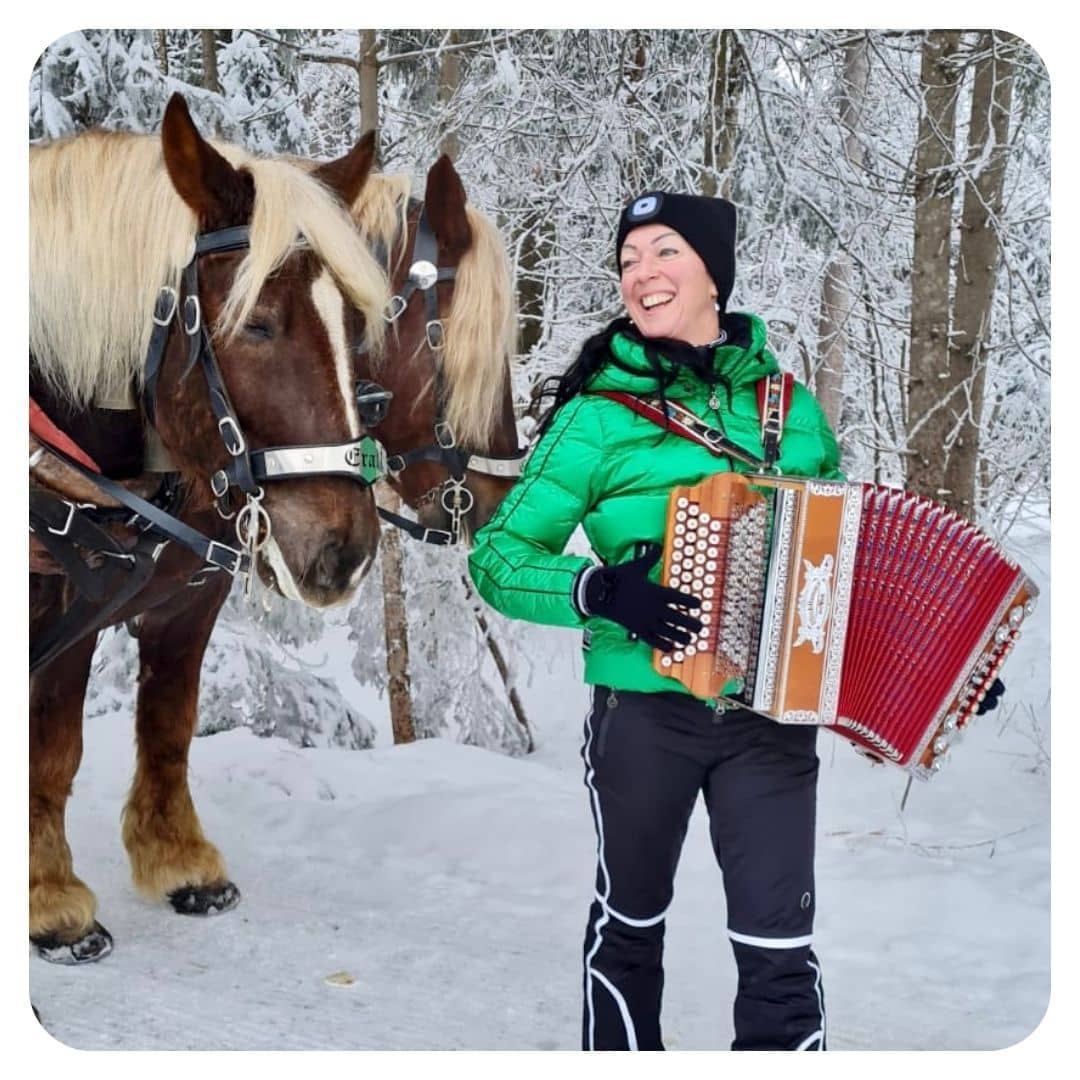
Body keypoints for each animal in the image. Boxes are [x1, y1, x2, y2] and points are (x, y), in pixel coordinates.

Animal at [27, 95, 393, 963]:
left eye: (353, 324)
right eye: (256, 322)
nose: (345, 553)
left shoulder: (186, 594)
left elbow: (170, 725)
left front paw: (178, 860)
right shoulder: (64, 602)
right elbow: (51, 750)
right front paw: (51, 903)